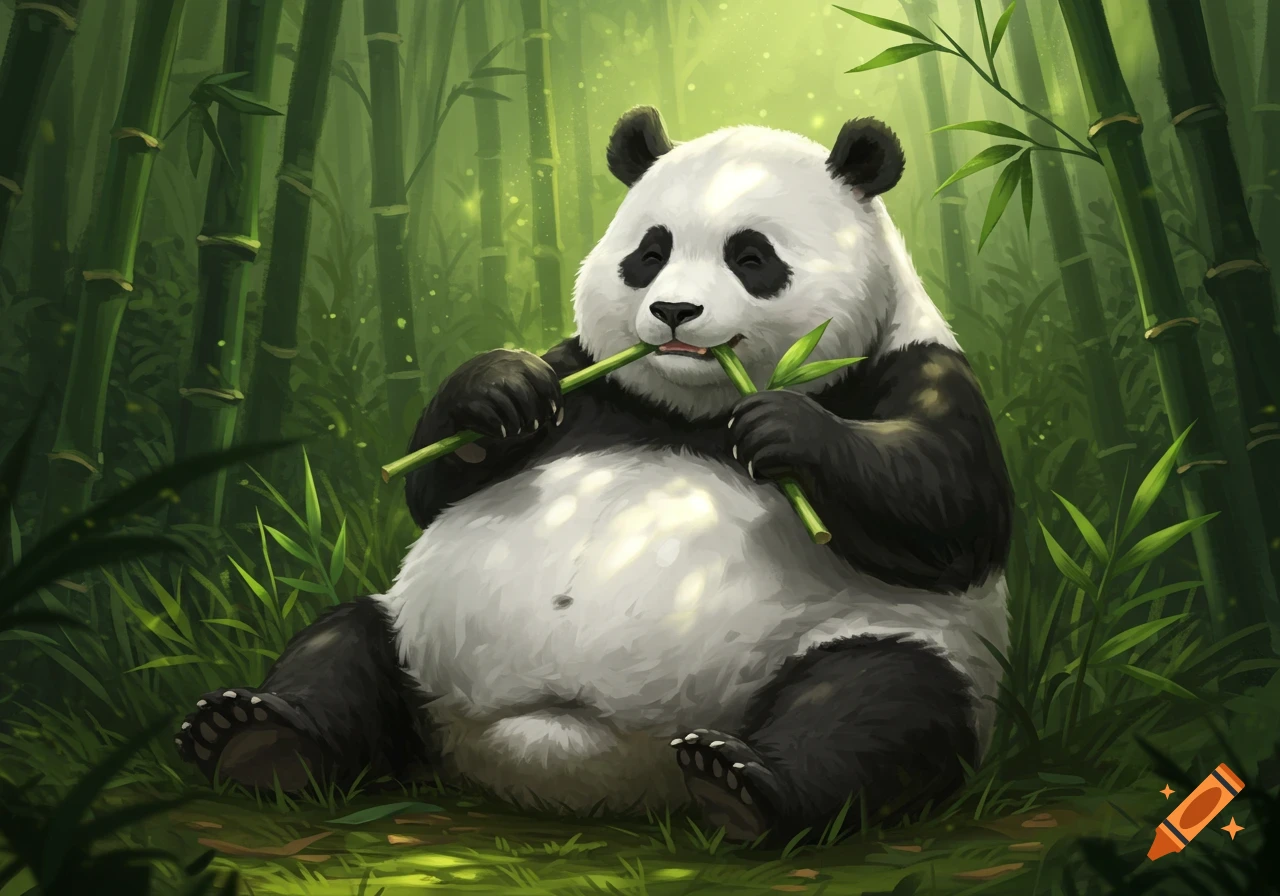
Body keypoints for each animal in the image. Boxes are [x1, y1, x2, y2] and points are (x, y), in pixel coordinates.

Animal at [176, 106, 1013, 845]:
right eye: (650, 252)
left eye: (751, 257)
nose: (674, 311)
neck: (692, 407)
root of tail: (543, 766)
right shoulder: (588, 374)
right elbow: (433, 484)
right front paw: (498, 390)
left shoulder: (911, 366)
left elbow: (955, 509)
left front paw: (784, 427)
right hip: (413, 637)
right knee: (343, 644)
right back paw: (256, 736)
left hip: (891, 646)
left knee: (874, 703)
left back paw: (742, 783)